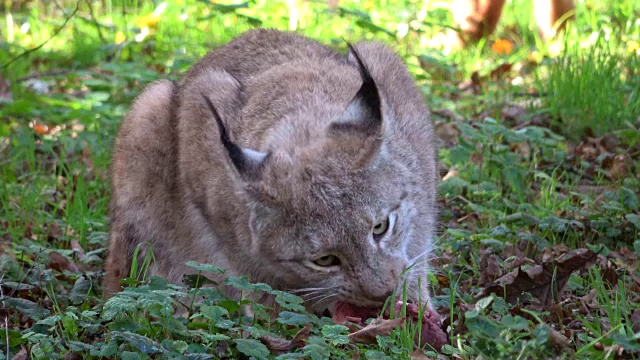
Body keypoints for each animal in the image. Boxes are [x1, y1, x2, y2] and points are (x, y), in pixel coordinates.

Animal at [104, 28, 440, 316]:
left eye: (380, 227)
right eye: (324, 260)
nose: (381, 293)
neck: (303, 120)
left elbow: (416, 244)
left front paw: (413, 308)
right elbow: (255, 278)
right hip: (149, 109)